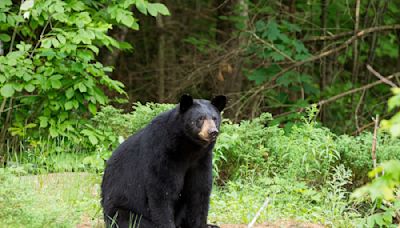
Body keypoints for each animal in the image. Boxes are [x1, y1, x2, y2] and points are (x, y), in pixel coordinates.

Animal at [101, 95, 227, 228]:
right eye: (200, 118)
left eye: (214, 118)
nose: (212, 132)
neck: (189, 149)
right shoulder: (162, 154)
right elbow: (162, 191)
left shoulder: (201, 161)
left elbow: (199, 191)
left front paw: (201, 224)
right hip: (121, 206)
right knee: (129, 219)